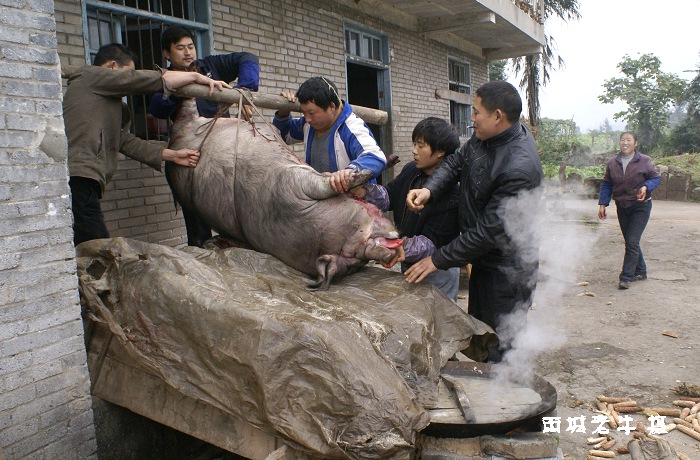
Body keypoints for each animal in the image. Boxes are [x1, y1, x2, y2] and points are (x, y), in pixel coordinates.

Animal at [165, 98, 404, 290]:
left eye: (355, 259)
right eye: (355, 252)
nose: (391, 253)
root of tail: (176, 138)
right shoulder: (295, 184)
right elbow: (327, 181)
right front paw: (355, 174)